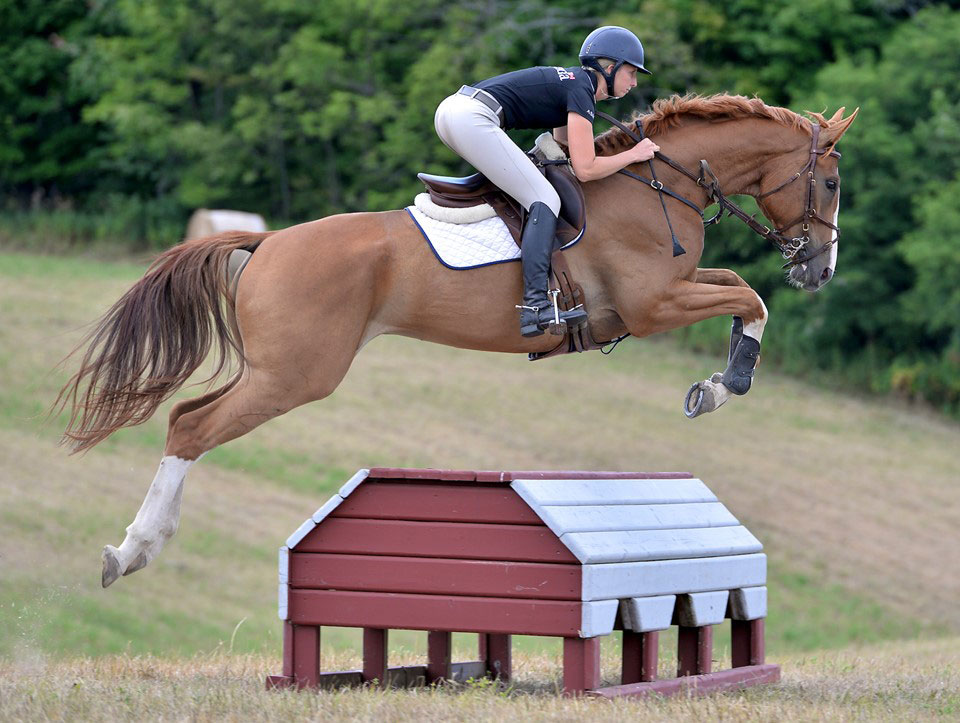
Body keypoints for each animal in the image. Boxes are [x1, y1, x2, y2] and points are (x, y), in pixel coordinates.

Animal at [53, 94, 858, 587]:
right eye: (829, 184)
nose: (819, 269)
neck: (660, 182)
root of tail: (268, 240)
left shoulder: (670, 291)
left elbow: (740, 290)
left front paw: (715, 383)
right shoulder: (653, 305)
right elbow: (750, 297)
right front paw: (723, 386)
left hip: (274, 368)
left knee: (187, 416)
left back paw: (136, 546)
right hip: (296, 374)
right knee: (193, 426)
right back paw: (132, 552)